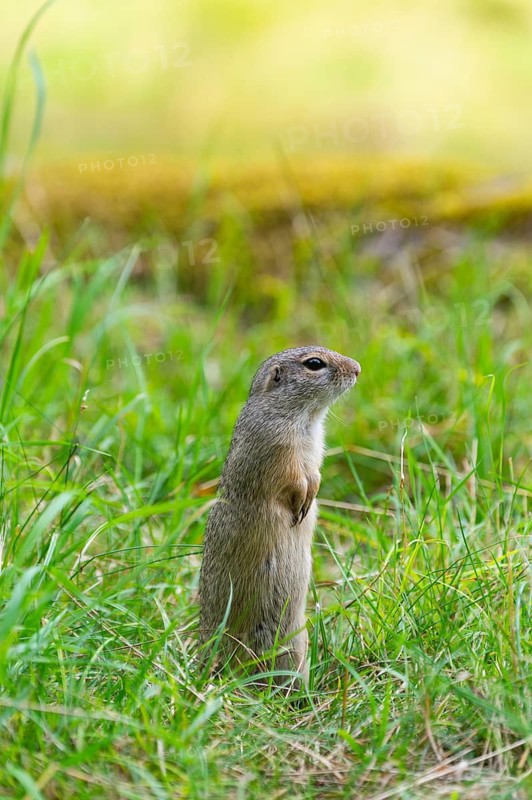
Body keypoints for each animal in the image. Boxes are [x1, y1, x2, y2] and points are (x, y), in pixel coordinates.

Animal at [199, 346, 361, 684]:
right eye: (314, 364)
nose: (357, 369)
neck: (305, 418)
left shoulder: (315, 451)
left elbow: (314, 475)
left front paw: (311, 497)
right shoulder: (277, 446)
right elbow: (292, 478)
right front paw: (300, 502)